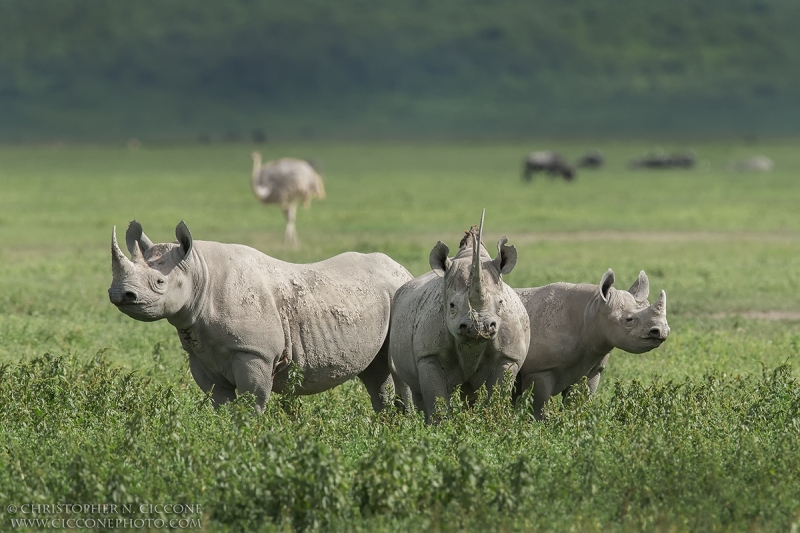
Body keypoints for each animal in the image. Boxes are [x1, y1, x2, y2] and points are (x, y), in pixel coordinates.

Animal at [512, 270, 668, 420]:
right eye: (629, 320)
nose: (661, 331)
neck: (592, 309)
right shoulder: (539, 370)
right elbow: (537, 407)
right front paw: (537, 425)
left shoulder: (591, 369)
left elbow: (577, 403)